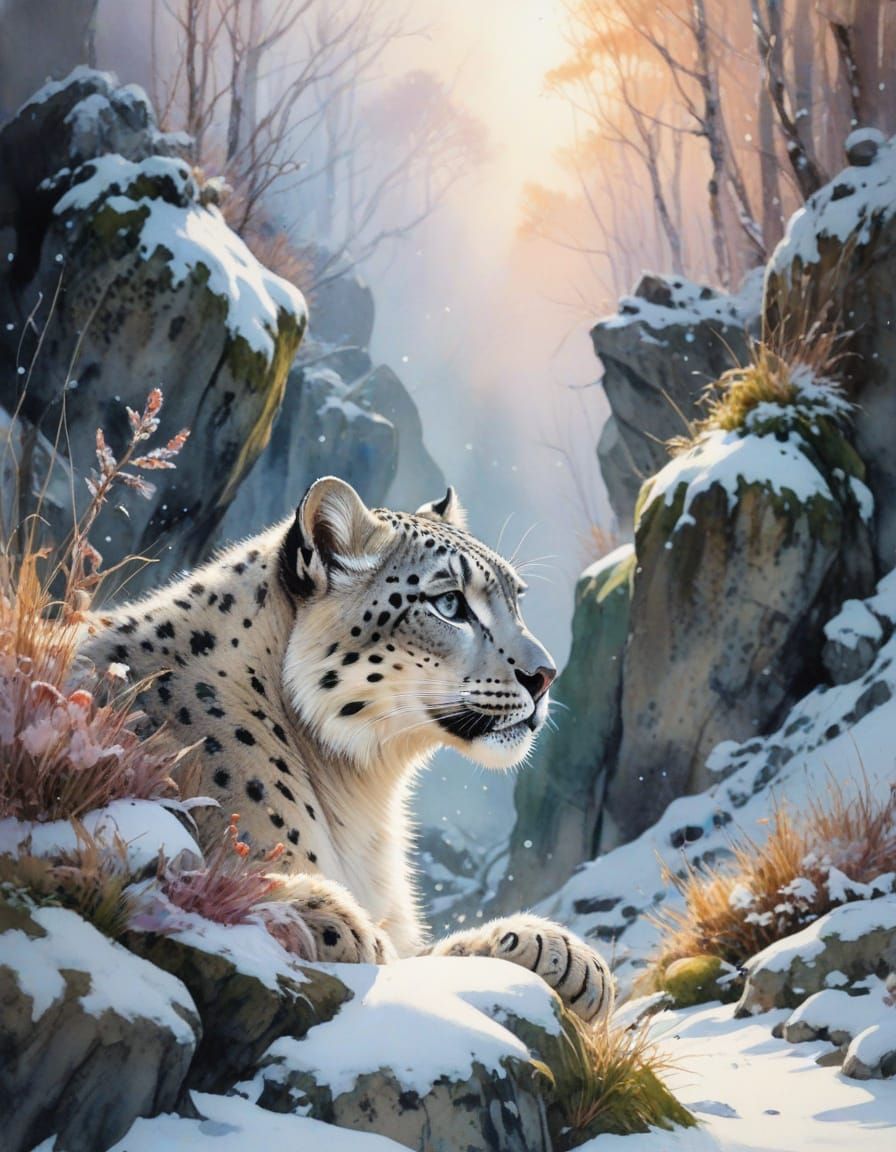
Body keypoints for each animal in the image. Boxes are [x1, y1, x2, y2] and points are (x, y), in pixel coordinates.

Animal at [83, 477, 615, 1024]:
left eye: (516, 598)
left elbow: (425, 956)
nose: (545, 675)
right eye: (449, 604)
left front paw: (561, 954)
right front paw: (337, 921)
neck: (363, 790)